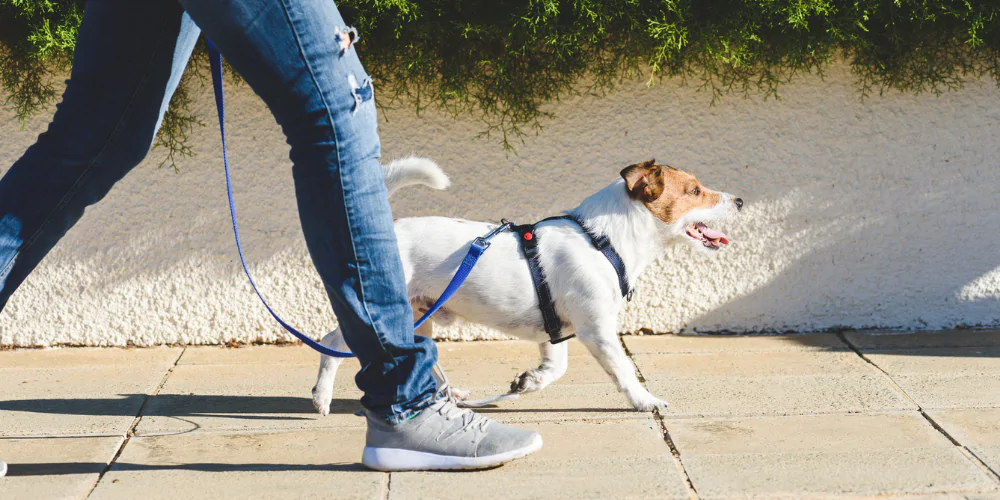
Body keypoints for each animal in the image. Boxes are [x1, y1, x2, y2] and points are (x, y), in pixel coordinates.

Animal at [312, 157, 744, 414]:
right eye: (695, 191)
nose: (740, 201)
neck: (603, 239)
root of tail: (387, 232)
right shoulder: (597, 330)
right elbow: (623, 370)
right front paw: (645, 400)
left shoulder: (557, 330)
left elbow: (555, 368)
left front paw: (529, 381)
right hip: (385, 312)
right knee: (332, 344)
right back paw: (322, 397)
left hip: (421, 316)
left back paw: (450, 396)